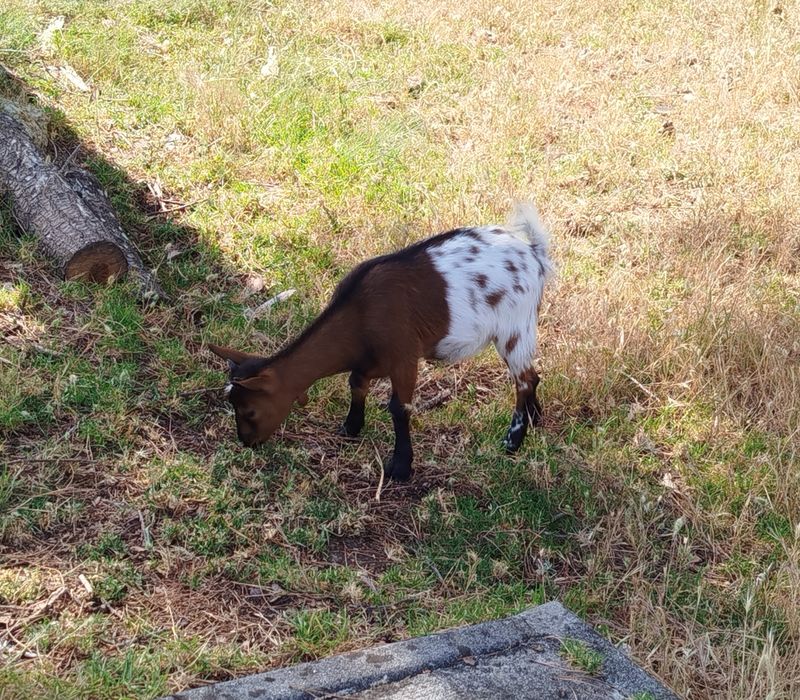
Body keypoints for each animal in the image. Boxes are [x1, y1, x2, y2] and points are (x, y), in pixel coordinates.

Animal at [208, 203, 553, 481]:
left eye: (250, 411)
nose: (247, 442)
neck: (360, 316)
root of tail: (534, 254)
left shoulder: (404, 355)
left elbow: (399, 408)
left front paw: (400, 467)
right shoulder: (371, 360)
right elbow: (356, 383)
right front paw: (350, 428)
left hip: (514, 326)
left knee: (523, 380)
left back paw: (512, 442)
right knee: (532, 376)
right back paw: (534, 420)